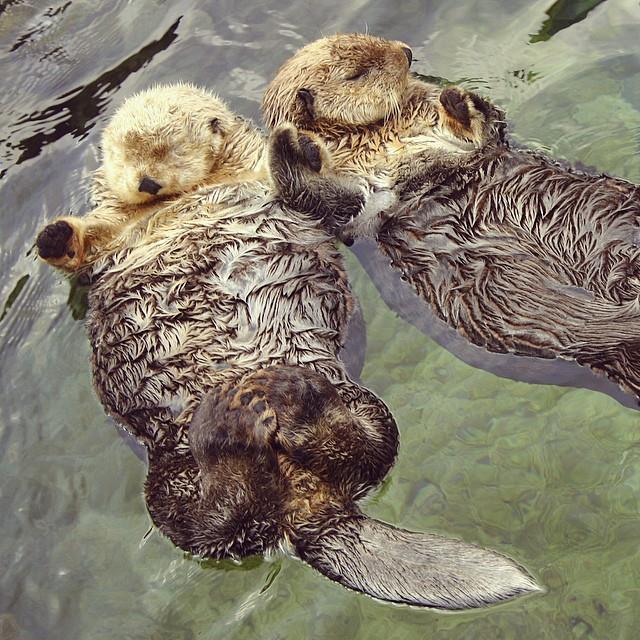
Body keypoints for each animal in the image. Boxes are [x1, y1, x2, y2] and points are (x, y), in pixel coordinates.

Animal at [36, 85, 539, 609]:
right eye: (123, 156)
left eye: (171, 150)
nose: (147, 182)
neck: (188, 195)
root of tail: (303, 505)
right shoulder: (108, 233)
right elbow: (81, 246)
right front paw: (53, 234)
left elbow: (329, 198)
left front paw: (302, 149)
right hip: (169, 472)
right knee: (212, 523)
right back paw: (240, 425)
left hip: (351, 396)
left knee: (367, 447)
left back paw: (288, 403)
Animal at [262, 33, 640, 407]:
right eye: (356, 73)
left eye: (375, 40)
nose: (406, 52)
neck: (377, 132)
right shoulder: (351, 209)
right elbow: (327, 203)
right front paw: (293, 145)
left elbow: (488, 123)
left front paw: (457, 100)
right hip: (504, 303)